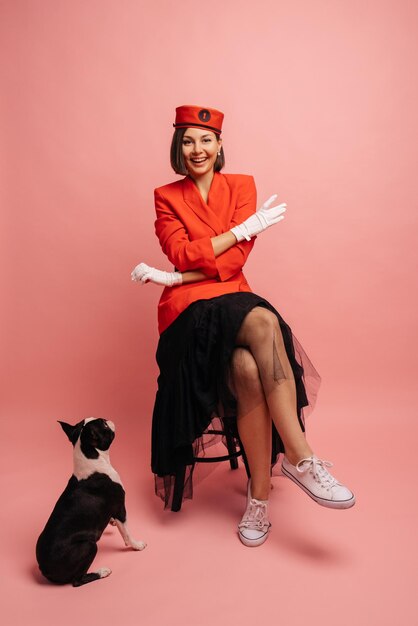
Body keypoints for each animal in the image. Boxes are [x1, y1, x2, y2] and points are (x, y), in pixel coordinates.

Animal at [36, 414, 147, 584]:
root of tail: (44, 570)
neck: (93, 460)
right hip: (89, 546)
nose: (106, 418)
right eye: (103, 425)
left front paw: (112, 522)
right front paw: (137, 545)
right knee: (77, 580)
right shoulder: (120, 507)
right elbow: (126, 532)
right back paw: (102, 572)